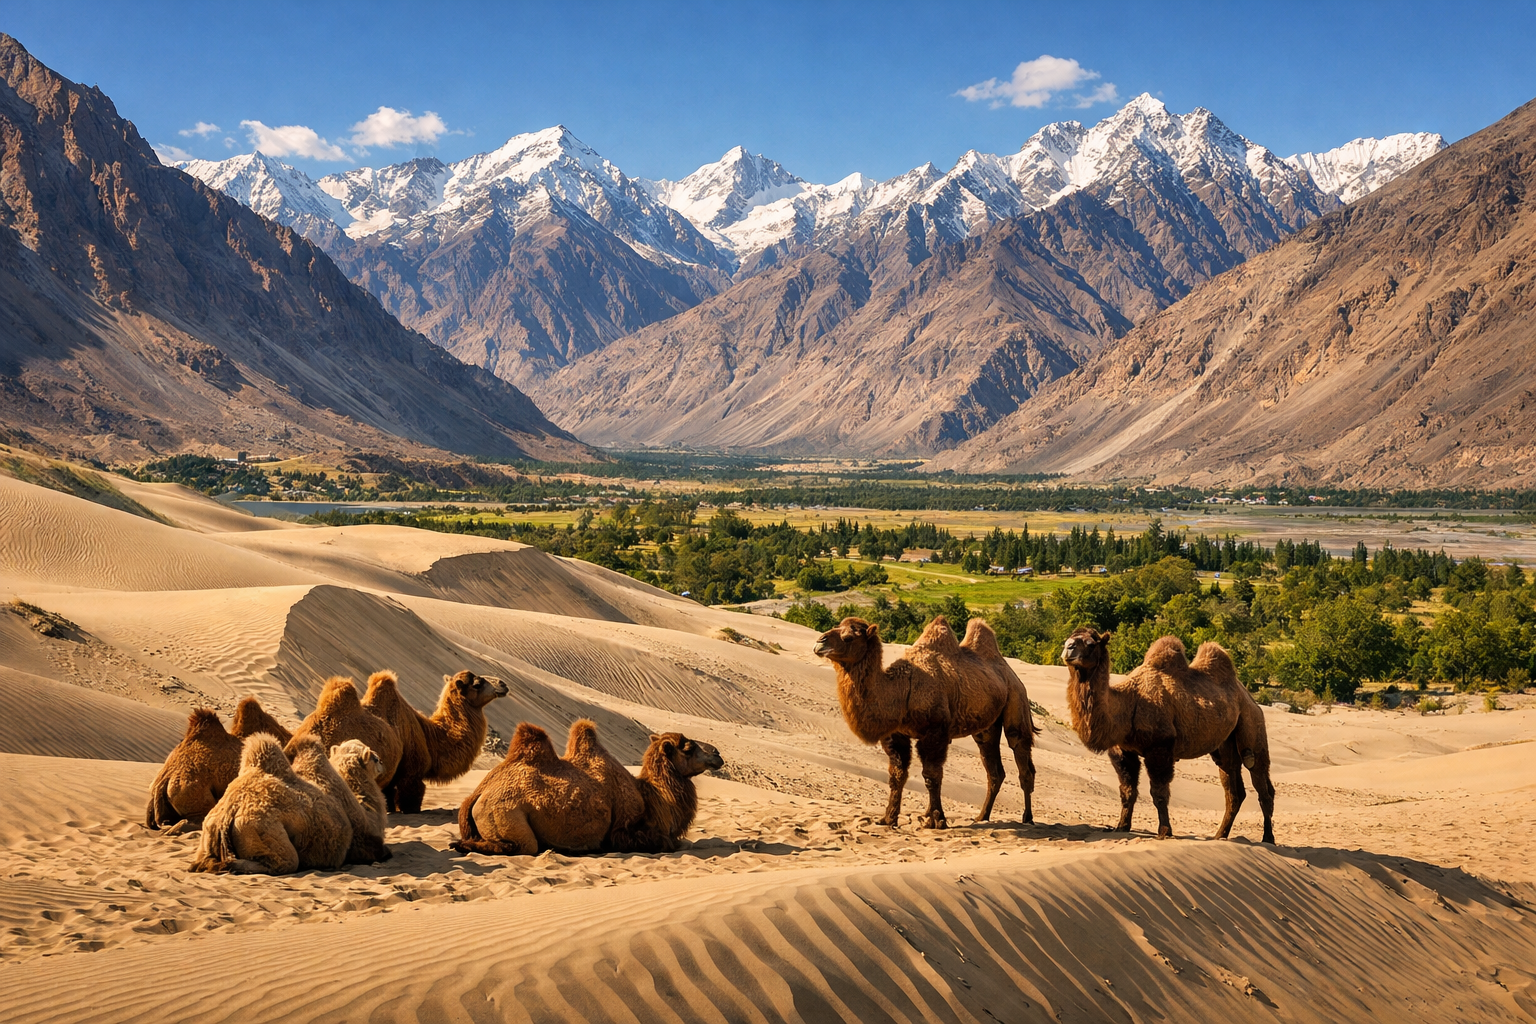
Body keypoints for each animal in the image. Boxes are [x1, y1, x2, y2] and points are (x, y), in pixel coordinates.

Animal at [451, 721, 723, 856]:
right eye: (688, 748)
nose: (717, 754)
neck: (653, 798)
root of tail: (476, 795)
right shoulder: (623, 830)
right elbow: (666, 843)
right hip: (505, 814)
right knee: (520, 846)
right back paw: (462, 846)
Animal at [814, 616, 1037, 829]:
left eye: (849, 637)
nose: (819, 643)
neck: (901, 690)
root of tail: (1010, 674)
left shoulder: (935, 732)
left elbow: (931, 775)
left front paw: (937, 820)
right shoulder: (897, 735)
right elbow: (897, 775)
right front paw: (888, 819)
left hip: (1017, 700)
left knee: (1021, 754)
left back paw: (1027, 819)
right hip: (986, 728)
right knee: (994, 770)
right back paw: (981, 817)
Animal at [1061, 629, 1275, 843]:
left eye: (1091, 644)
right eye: (1069, 638)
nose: (1068, 648)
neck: (1128, 703)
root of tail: (1250, 698)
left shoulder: (1159, 748)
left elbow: (1159, 793)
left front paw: (1164, 831)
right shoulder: (1123, 751)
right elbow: (1127, 791)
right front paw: (1121, 827)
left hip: (1253, 727)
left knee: (1262, 785)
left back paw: (1268, 838)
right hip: (1225, 746)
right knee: (1234, 790)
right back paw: (1219, 835)